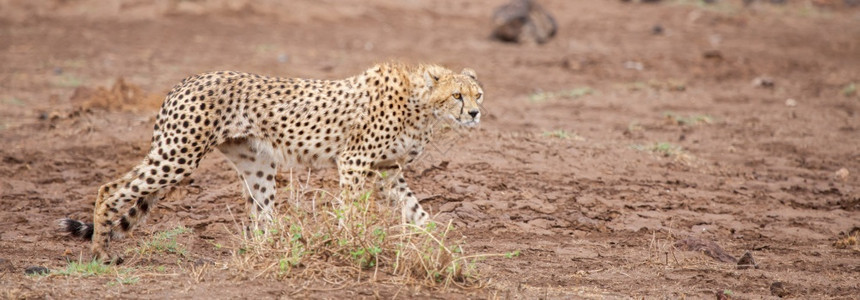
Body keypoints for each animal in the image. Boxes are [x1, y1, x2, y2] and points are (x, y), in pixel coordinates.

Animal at [62, 62, 484, 262]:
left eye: (477, 93)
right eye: (457, 96)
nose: (476, 113)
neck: (423, 106)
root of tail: (187, 79)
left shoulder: (386, 173)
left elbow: (418, 213)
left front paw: (445, 248)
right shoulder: (354, 161)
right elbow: (352, 211)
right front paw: (350, 243)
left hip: (256, 163)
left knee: (261, 216)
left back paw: (276, 247)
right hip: (179, 154)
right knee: (111, 187)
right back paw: (100, 252)